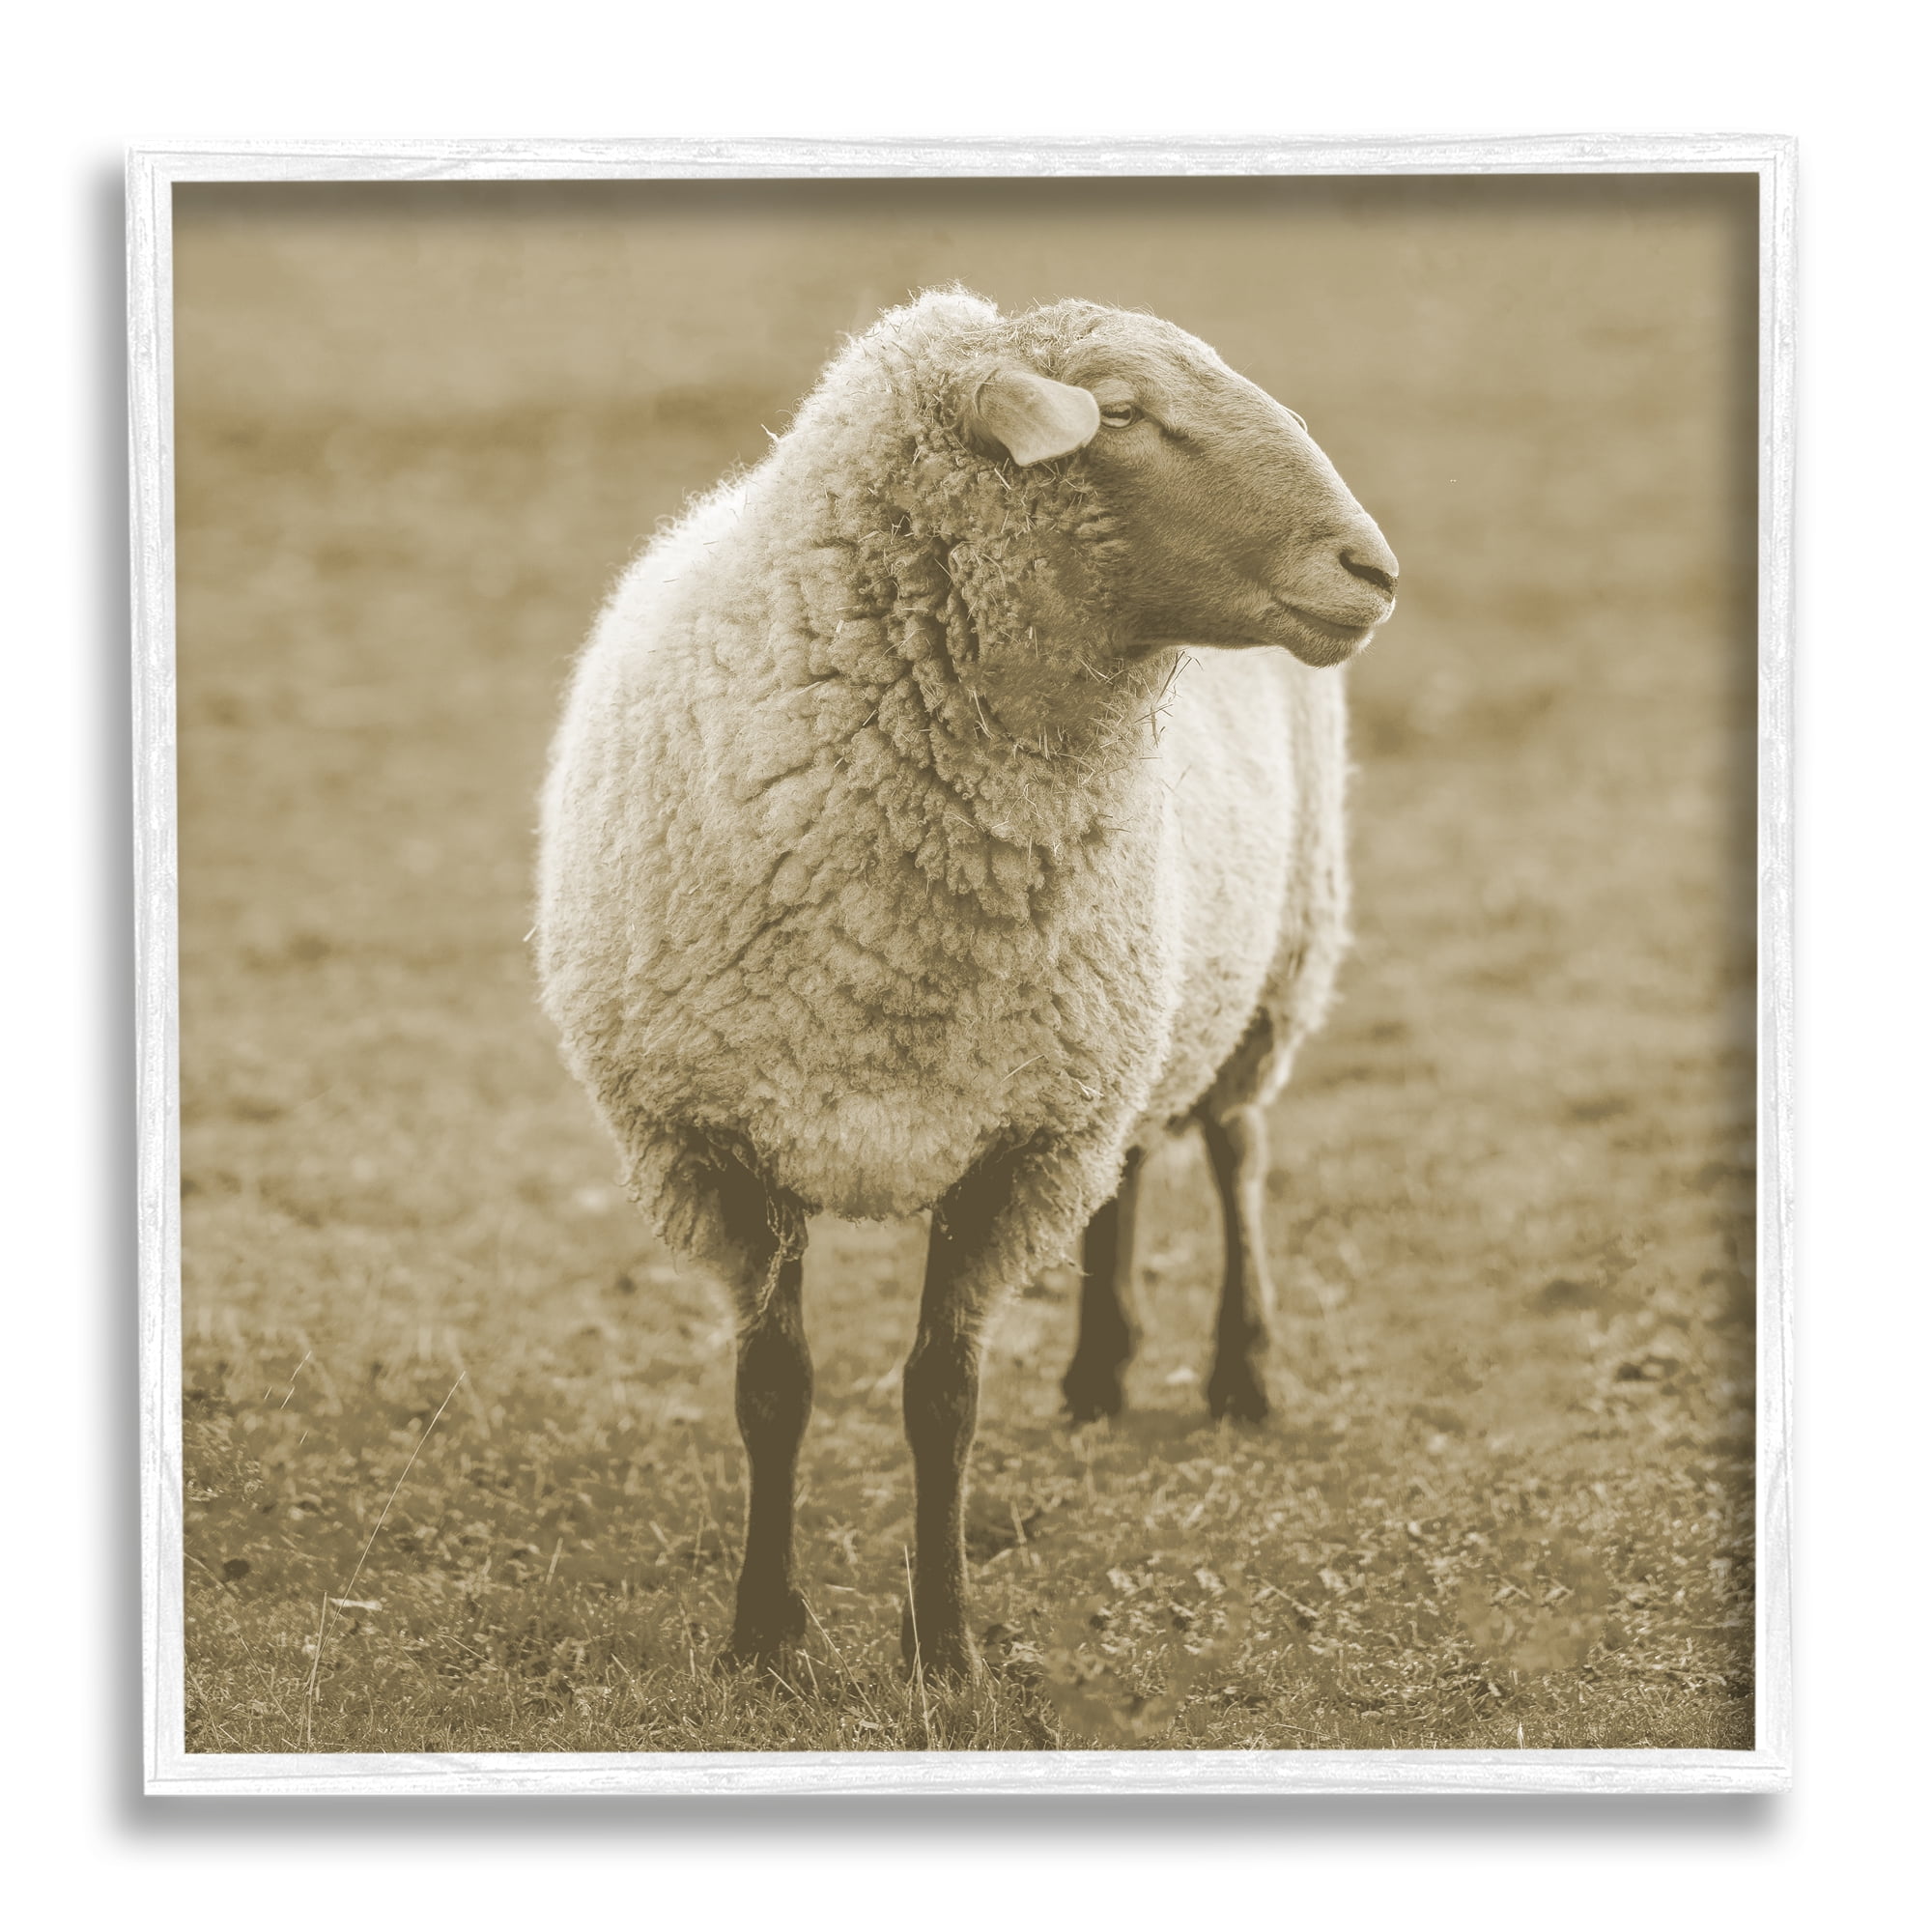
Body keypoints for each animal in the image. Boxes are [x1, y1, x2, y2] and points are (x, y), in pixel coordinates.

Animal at [536, 289, 1398, 1680]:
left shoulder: (1015, 1147)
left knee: (1233, 1147)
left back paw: (1241, 1370)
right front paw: (763, 1635)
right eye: (1125, 413)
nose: (1370, 570)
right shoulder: (723, 1140)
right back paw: (1100, 1369)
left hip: (1274, 959)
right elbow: (772, 1392)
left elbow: (942, 1398)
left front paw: (942, 1644)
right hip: (1126, 1019)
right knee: (1137, 1160)